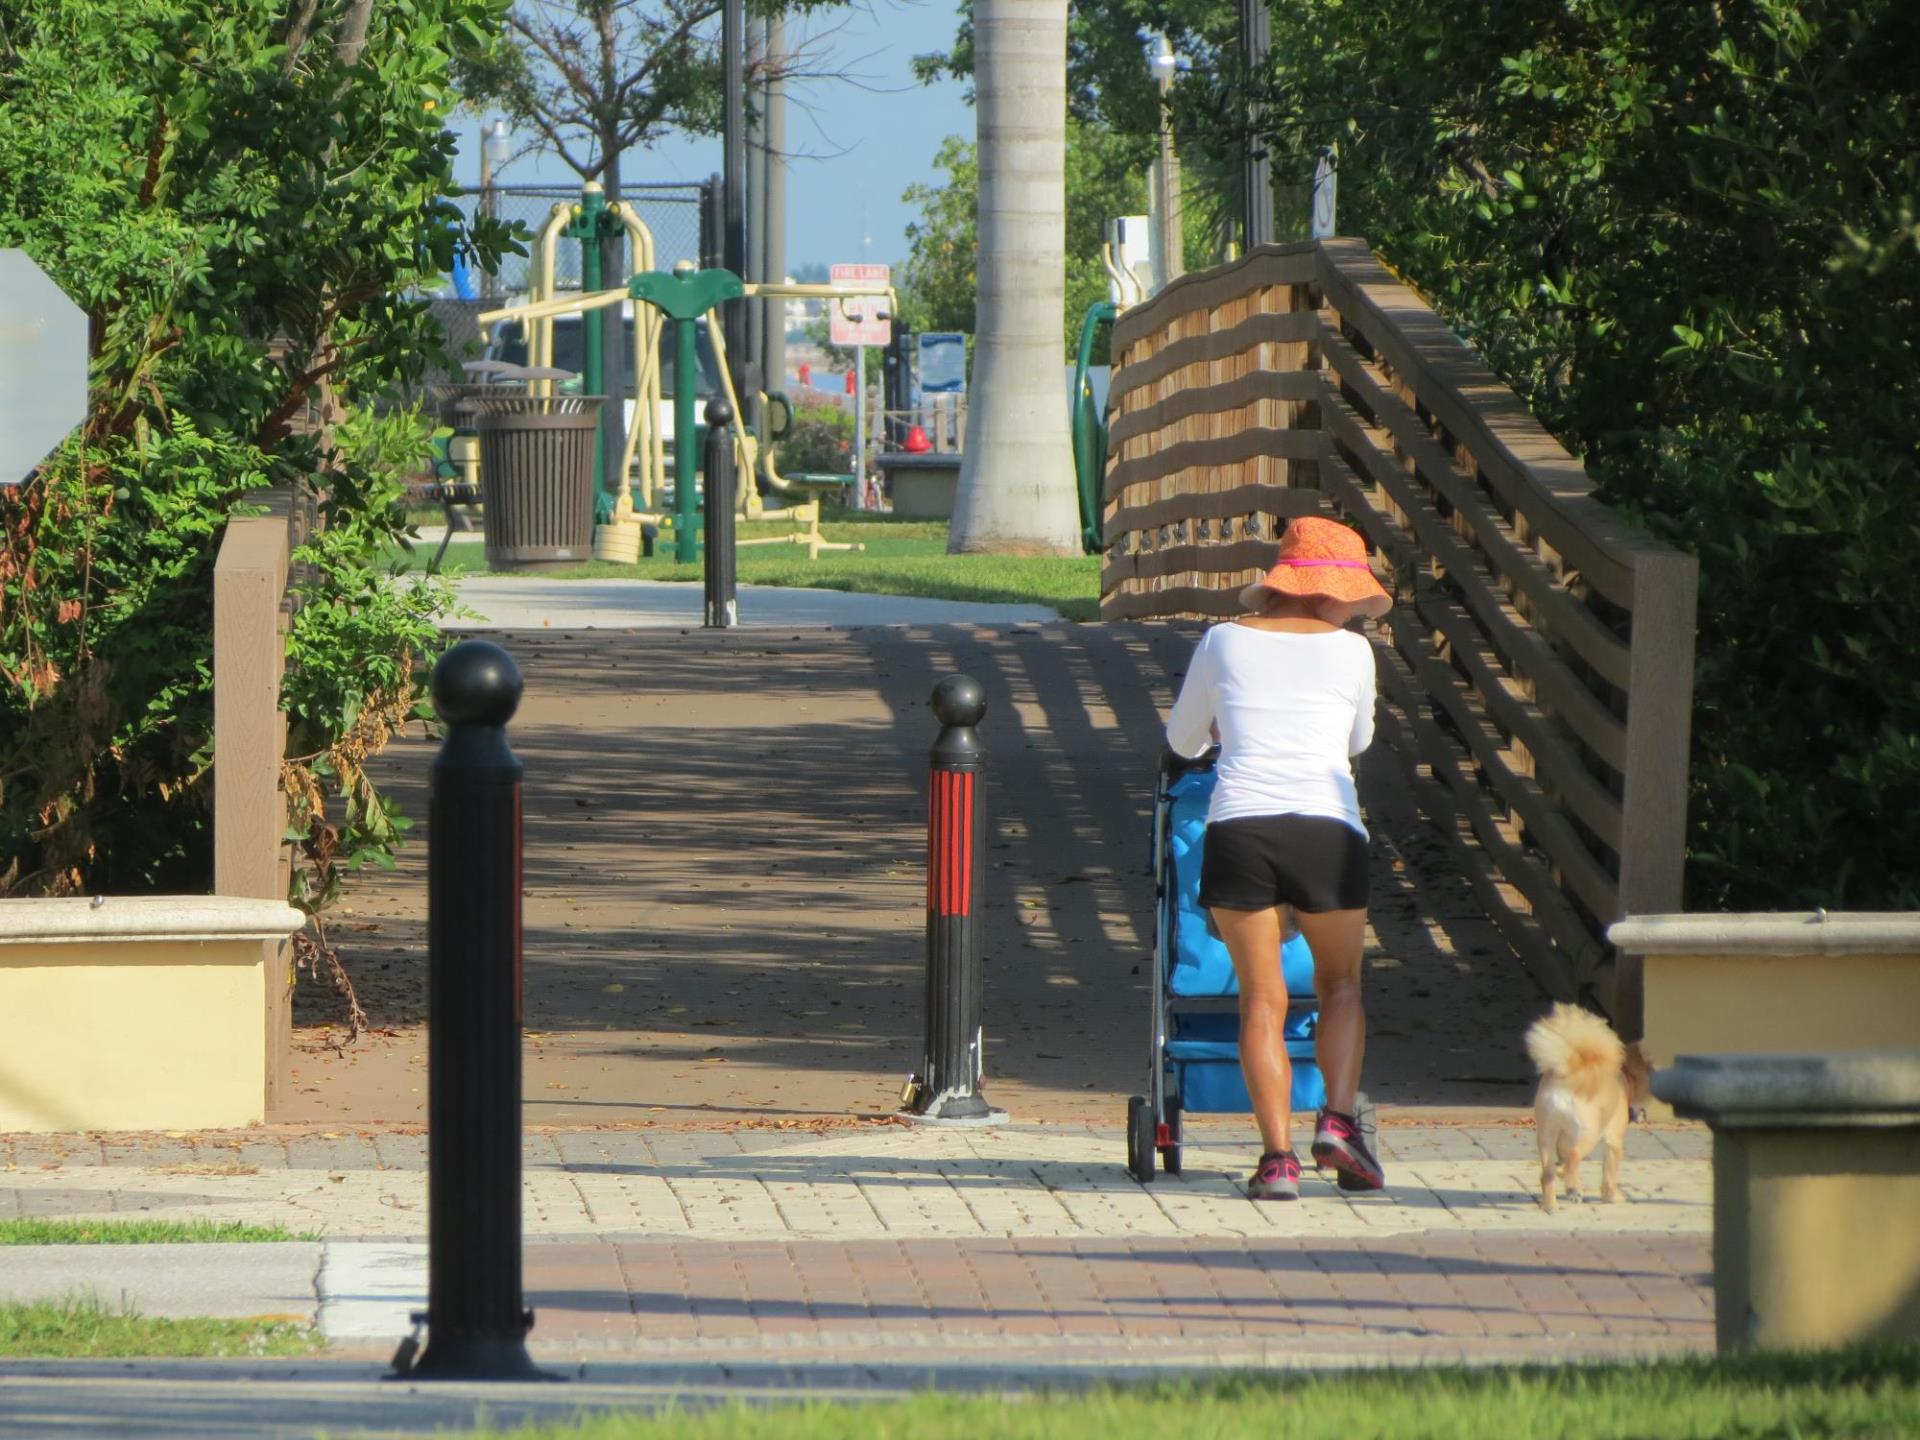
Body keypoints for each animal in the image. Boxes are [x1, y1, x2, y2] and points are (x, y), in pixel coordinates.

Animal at [1528, 1006, 1651, 1221]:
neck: (1624, 1077)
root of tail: (1567, 1076)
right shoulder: (1614, 1142)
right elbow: (1609, 1173)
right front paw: (1613, 1197)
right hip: (1588, 1133)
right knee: (1574, 1156)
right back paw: (1573, 1189)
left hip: (1546, 1135)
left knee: (1548, 1174)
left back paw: (1551, 1204)